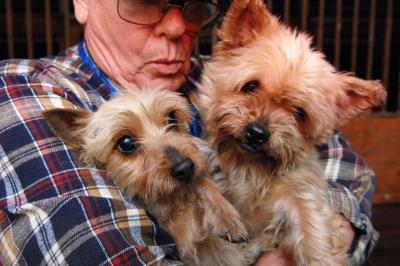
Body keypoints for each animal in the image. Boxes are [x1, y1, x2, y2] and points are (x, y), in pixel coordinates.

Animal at [41, 90, 247, 266]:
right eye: (125, 143)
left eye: (171, 117)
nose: (185, 167)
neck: (167, 200)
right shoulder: (181, 239)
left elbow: (201, 182)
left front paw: (225, 215)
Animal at [197, 0, 388, 264]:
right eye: (250, 86)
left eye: (299, 114)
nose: (257, 133)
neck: (250, 167)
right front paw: (225, 217)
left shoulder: (302, 197)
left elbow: (315, 238)